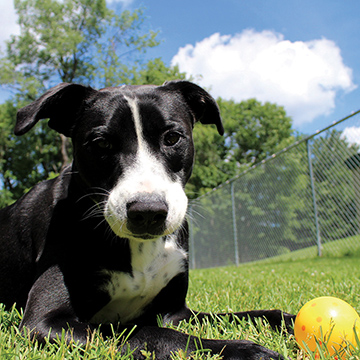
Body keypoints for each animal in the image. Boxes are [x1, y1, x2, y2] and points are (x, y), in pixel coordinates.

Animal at [0, 81, 294, 360]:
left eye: (172, 137)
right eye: (101, 143)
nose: (148, 212)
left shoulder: (176, 311)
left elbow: (249, 314)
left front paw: (288, 321)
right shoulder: (44, 321)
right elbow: (149, 333)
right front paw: (240, 349)